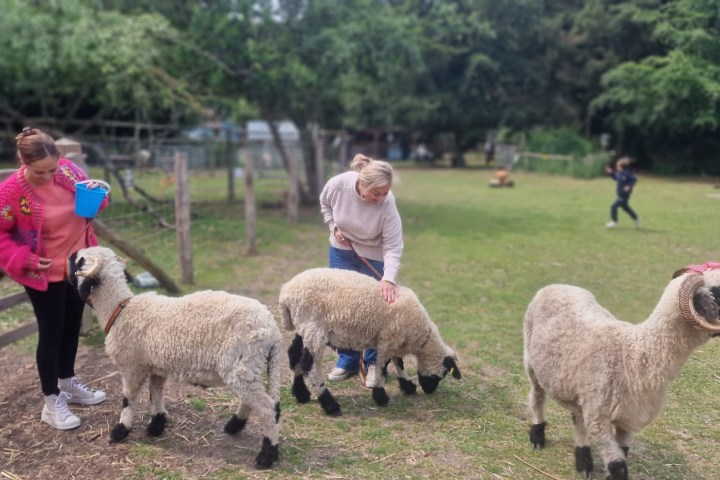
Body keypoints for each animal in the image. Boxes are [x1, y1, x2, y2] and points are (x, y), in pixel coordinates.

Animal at [70, 246, 283, 469]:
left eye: (79, 261)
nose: (70, 254)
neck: (120, 310)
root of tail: (273, 331)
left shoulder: (132, 366)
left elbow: (128, 399)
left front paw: (120, 430)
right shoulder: (156, 366)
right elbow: (155, 394)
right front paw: (156, 425)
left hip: (242, 364)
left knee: (267, 409)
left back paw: (267, 454)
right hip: (249, 367)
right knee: (254, 401)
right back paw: (235, 425)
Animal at [278, 267, 461, 415]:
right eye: (444, 374)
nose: (429, 391)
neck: (420, 335)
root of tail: (285, 294)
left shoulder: (395, 339)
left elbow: (398, 363)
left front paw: (407, 386)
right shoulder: (388, 339)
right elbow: (382, 366)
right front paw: (381, 396)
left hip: (303, 326)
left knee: (294, 355)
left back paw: (301, 394)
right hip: (313, 326)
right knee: (309, 365)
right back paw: (330, 404)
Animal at [523, 264, 720, 480]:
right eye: (718, 293)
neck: (634, 355)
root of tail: (557, 286)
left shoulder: (628, 419)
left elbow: (622, 454)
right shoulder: (599, 419)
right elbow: (618, 465)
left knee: (577, 418)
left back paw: (583, 461)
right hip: (531, 361)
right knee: (537, 397)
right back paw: (537, 436)